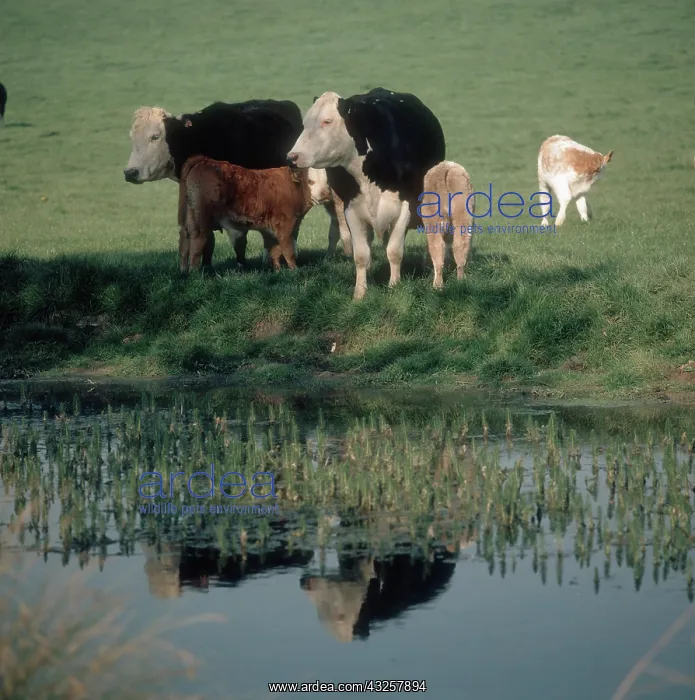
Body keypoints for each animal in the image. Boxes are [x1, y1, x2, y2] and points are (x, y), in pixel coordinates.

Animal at [177, 155, 324, 274]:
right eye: (310, 180)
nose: (323, 194)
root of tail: (206, 160)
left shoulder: (273, 230)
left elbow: (275, 250)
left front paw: (277, 270)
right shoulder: (285, 225)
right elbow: (288, 249)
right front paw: (295, 271)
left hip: (188, 218)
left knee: (185, 241)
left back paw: (184, 271)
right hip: (201, 221)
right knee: (197, 242)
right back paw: (195, 273)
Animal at [287, 87, 446, 300]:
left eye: (327, 121)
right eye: (305, 123)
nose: (292, 157)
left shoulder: (405, 206)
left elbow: (395, 251)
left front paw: (394, 287)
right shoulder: (351, 207)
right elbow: (361, 254)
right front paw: (359, 294)